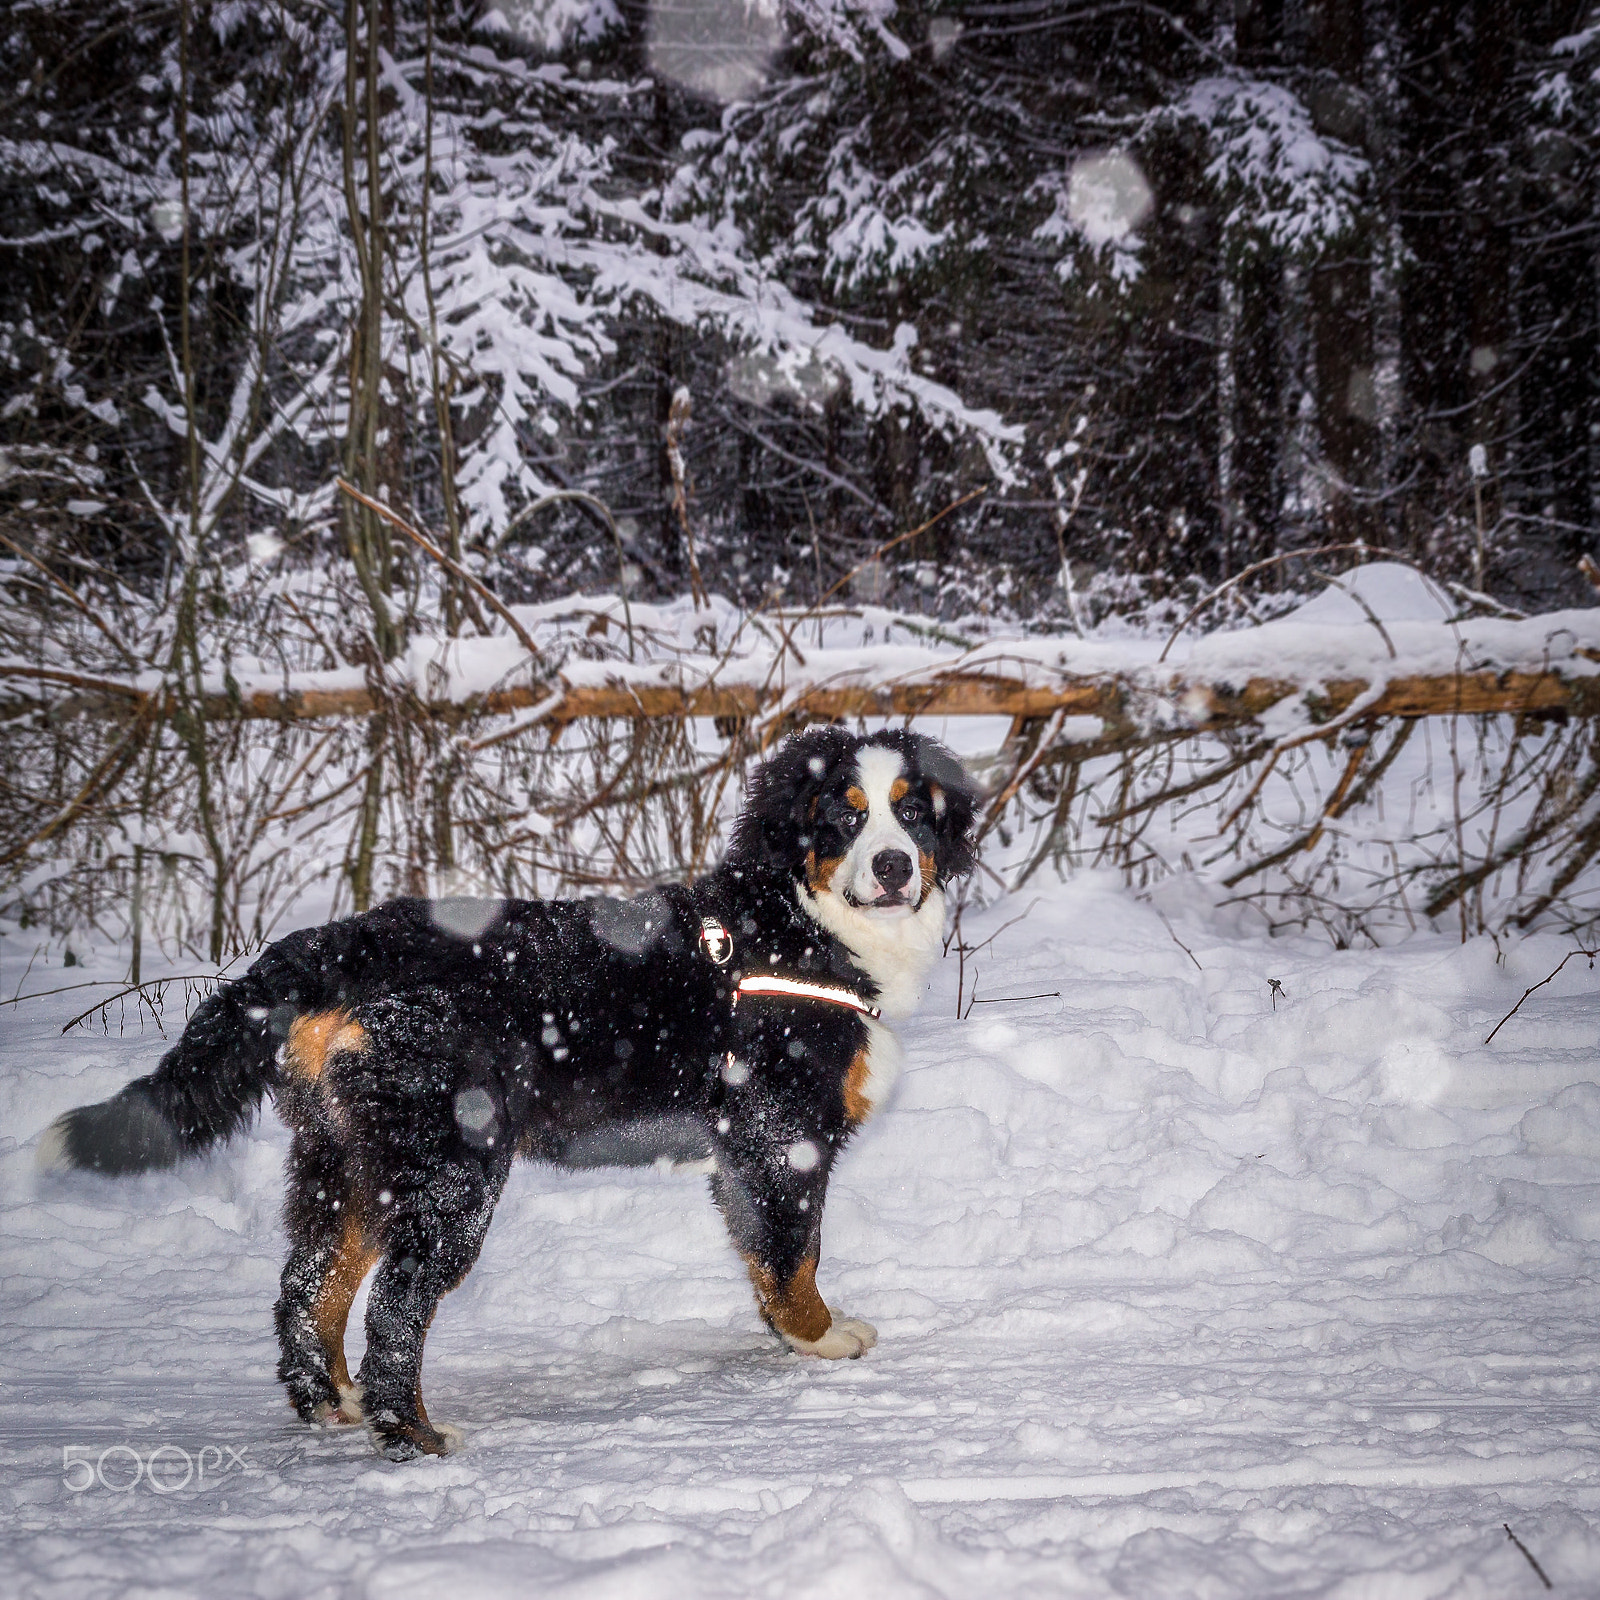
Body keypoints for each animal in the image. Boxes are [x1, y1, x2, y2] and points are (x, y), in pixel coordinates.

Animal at [43, 726, 972, 1465]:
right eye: (844, 814)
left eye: (913, 813)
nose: (894, 865)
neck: (798, 924)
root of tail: (332, 945)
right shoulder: (782, 1134)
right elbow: (794, 1254)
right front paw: (822, 1337)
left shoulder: (747, 1151)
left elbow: (767, 1256)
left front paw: (789, 1337)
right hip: (452, 1169)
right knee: (394, 1310)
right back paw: (411, 1435)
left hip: (346, 1159)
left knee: (309, 1291)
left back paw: (332, 1406)